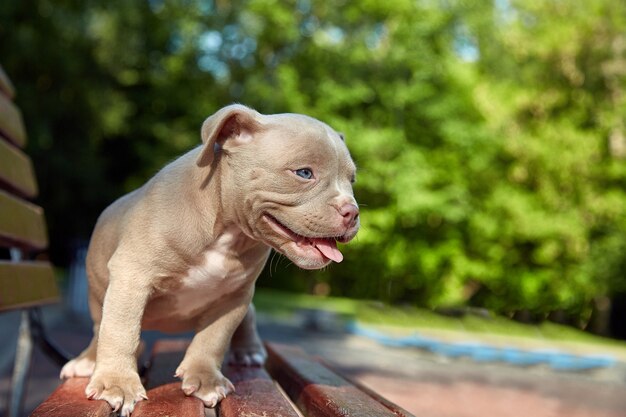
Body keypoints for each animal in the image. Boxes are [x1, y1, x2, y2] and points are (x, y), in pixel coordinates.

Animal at [62, 103, 360, 412]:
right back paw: (87, 360)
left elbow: (213, 338)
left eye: (352, 180)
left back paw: (249, 350)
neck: (227, 228)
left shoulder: (234, 296)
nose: (353, 212)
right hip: (100, 299)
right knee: (100, 328)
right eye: (304, 173)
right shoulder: (132, 277)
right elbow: (120, 331)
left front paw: (205, 379)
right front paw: (117, 383)